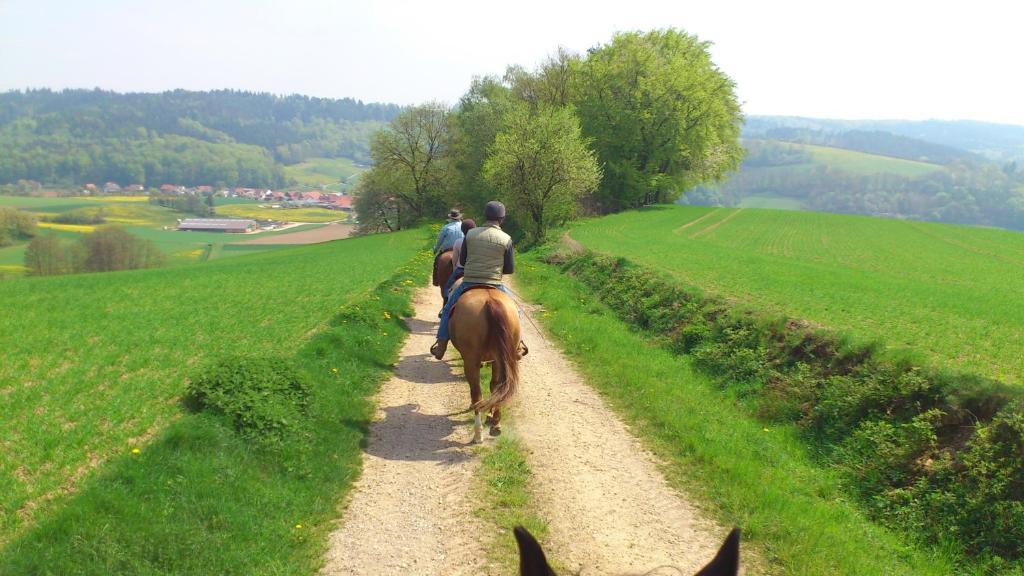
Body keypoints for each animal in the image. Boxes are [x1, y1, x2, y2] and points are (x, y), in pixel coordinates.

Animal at [450, 284, 524, 440]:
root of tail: (491, 302)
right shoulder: (495, 359)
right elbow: (494, 385)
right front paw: (491, 416)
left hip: (471, 360)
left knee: (476, 393)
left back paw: (478, 433)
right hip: (501, 358)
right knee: (499, 386)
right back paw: (496, 424)